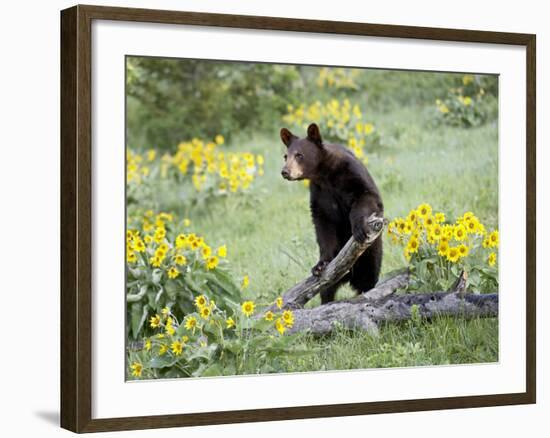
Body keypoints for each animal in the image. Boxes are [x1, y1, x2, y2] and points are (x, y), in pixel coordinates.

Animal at [280, 121, 384, 302]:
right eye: (286, 156)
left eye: (299, 155)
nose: (285, 172)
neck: (325, 174)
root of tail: (349, 277)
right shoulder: (319, 193)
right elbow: (323, 224)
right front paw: (320, 265)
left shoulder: (351, 173)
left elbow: (366, 196)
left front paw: (358, 228)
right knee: (327, 290)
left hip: (371, 254)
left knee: (369, 278)